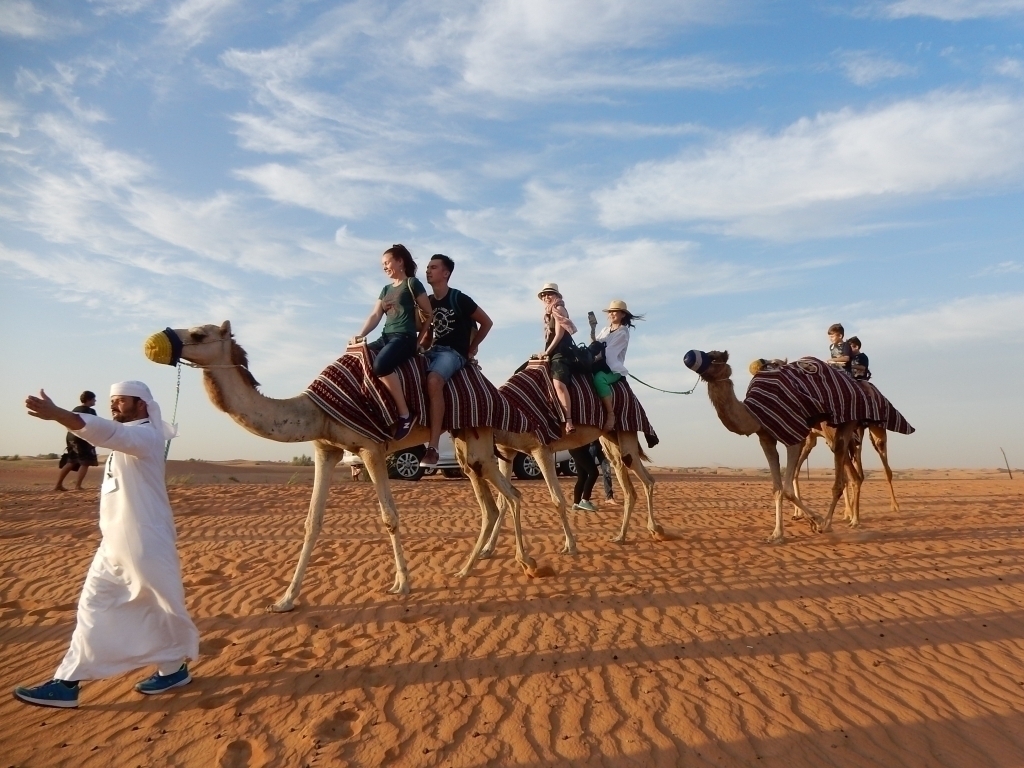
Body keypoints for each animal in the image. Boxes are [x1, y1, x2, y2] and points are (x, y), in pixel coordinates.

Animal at [155, 321, 536, 610]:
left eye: (199, 334)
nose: (165, 337)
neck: (316, 411)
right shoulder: (326, 449)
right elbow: (312, 522)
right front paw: (285, 599)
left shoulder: (371, 447)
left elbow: (389, 517)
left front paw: (402, 584)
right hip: (465, 446)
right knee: (490, 503)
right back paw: (466, 570)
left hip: (477, 441)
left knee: (512, 495)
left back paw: (527, 563)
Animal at [684, 352, 860, 544]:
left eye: (715, 357)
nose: (688, 357)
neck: (753, 413)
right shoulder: (766, 438)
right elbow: (777, 489)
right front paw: (777, 534)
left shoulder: (793, 435)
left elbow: (787, 489)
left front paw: (817, 521)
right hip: (821, 432)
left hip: (839, 423)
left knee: (845, 467)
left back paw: (835, 523)